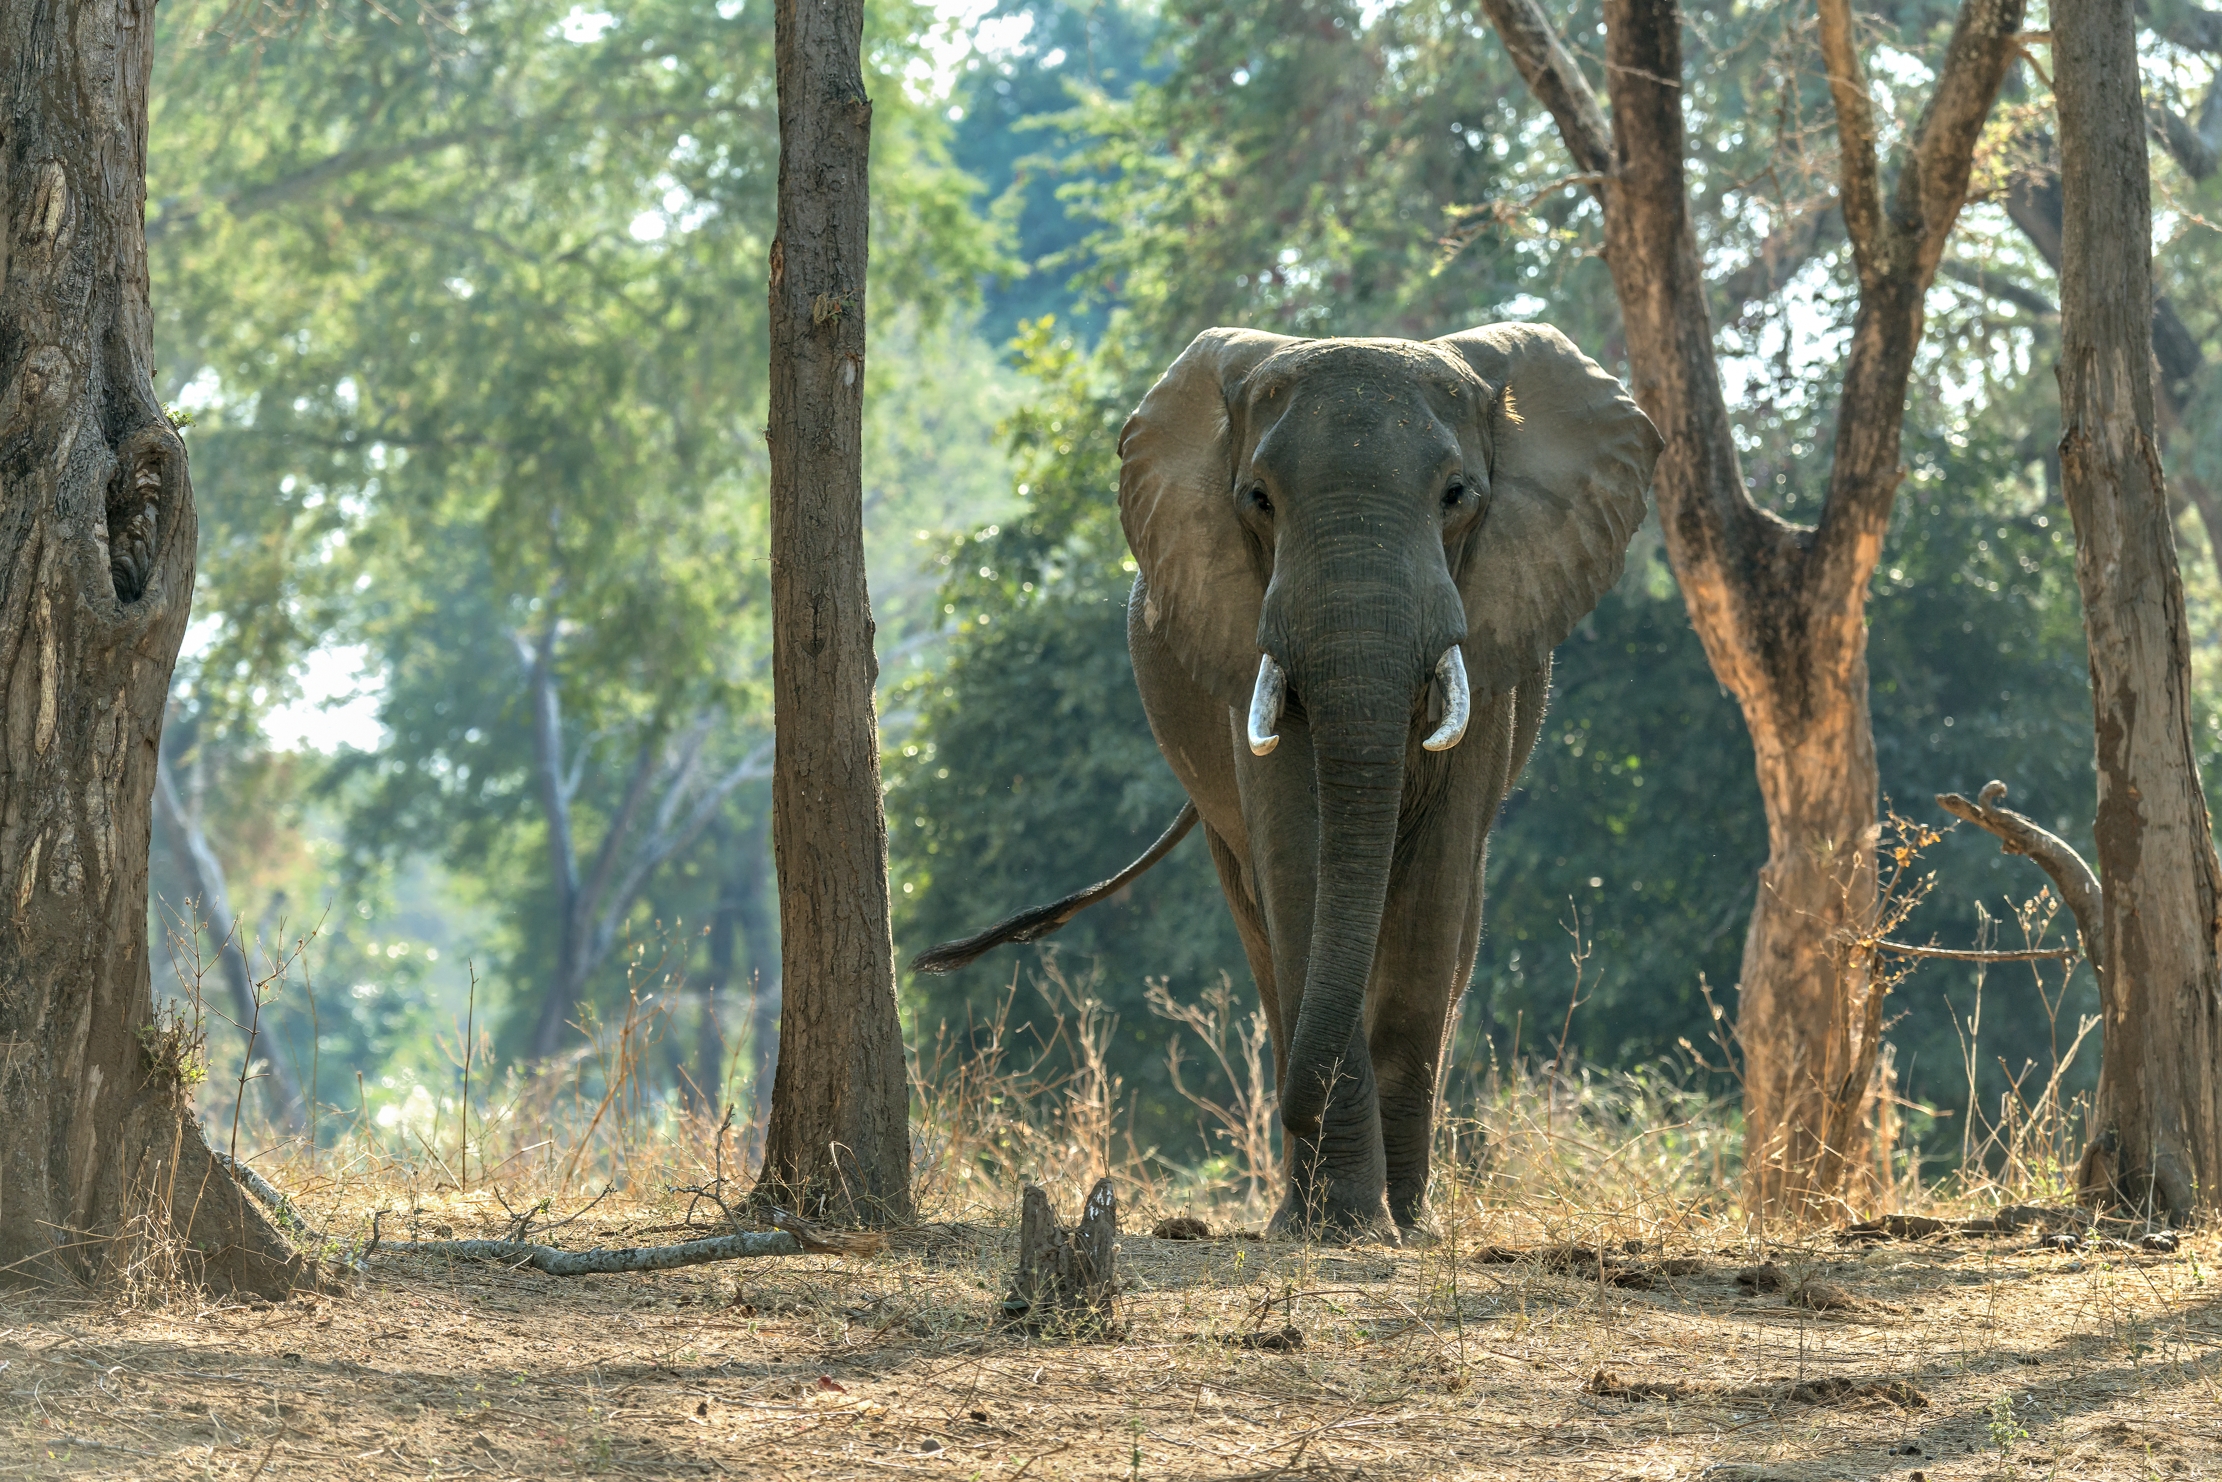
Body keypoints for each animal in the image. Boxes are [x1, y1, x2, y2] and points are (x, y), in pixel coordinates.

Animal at [916, 323, 1661, 1242]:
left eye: (1458, 495)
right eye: (1259, 500)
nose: (1293, 1109)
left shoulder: (1495, 648)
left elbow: (1435, 886)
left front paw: (1399, 1228)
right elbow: (1299, 859)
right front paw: (1341, 1224)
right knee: (1263, 928)